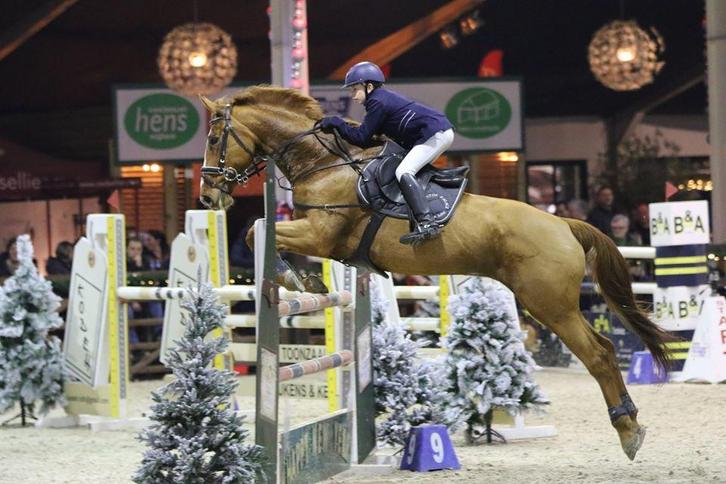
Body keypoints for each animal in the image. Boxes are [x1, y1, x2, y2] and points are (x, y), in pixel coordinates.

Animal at [198, 85, 676, 460]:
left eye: (216, 136)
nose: (208, 196)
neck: (324, 162)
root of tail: (563, 224)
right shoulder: (320, 239)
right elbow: (262, 232)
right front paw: (308, 281)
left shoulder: (319, 235)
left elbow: (255, 230)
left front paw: (292, 279)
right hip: (551, 304)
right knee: (602, 350)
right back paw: (631, 425)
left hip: (549, 305)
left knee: (598, 354)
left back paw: (628, 431)